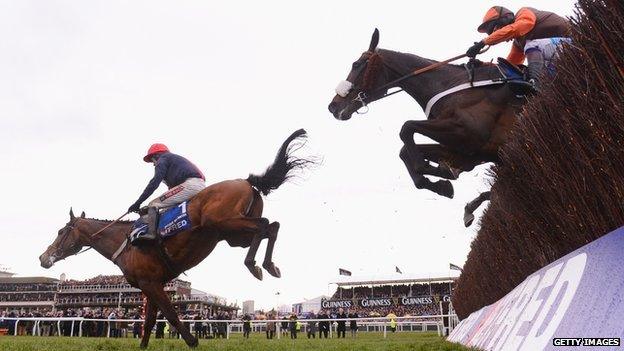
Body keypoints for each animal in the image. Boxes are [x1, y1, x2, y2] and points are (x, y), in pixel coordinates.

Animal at [39, 129, 312, 350]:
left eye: (61, 231)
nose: (43, 257)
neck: (125, 241)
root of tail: (245, 181)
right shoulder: (149, 285)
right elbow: (149, 320)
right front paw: (143, 346)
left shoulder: (151, 283)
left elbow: (169, 314)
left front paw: (192, 341)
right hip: (235, 235)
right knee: (270, 227)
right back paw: (266, 265)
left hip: (224, 223)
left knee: (265, 225)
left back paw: (255, 265)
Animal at [330, 29, 524, 201]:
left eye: (356, 64)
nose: (332, 106)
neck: (450, 83)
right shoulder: (466, 149)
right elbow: (404, 151)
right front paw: (439, 182)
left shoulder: (470, 132)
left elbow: (407, 127)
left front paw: (437, 169)